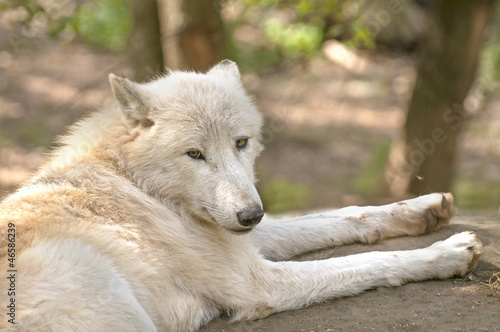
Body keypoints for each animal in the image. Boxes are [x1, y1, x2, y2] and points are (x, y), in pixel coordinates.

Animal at [1, 60, 482, 332]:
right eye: (195, 153)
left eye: (241, 143)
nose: (251, 215)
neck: (141, 186)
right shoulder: (256, 283)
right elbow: (373, 261)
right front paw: (447, 253)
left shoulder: (238, 238)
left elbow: (343, 215)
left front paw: (423, 209)